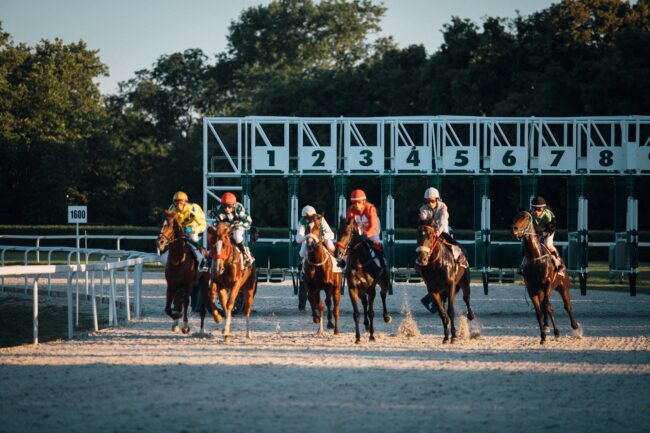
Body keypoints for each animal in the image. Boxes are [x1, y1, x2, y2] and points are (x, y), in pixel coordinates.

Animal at [508, 210, 580, 344]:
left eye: (525, 218)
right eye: (515, 217)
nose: (514, 229)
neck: (535, 258)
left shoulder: (547, 285)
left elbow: (548, 307)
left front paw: (556, 332)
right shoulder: (532, 289)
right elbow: (539, 312)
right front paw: (543, 336)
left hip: (563, 286)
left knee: (567, 305)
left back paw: (575, 326)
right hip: (542, 291)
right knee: (545, 307)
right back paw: (547, 326)